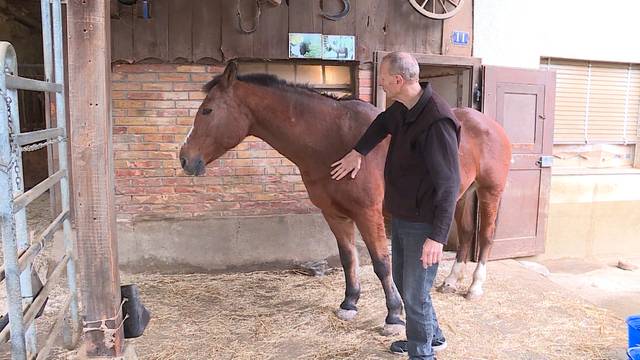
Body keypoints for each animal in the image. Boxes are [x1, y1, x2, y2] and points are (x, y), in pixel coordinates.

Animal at [179, 62, 510, 334]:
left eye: (207, 110)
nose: (184, 159)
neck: (333, 141)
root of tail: (490, 124)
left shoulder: (368, 214)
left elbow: (381, 263)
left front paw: (393, 315)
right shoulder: (335, 214)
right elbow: (349, 257)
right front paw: (349, 303)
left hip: (490, 192)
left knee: (486, 237)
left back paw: (475, 287)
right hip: (460, 195)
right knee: (465, 235)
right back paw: (451, 281)